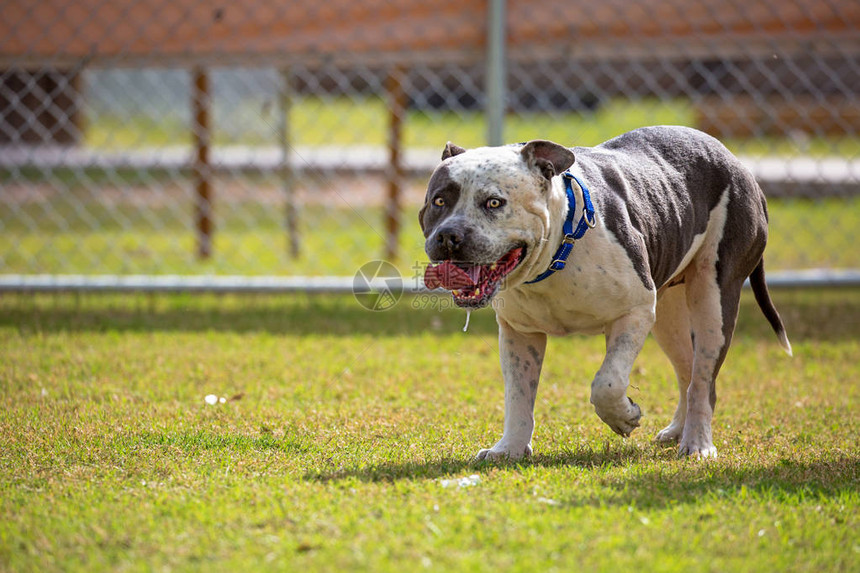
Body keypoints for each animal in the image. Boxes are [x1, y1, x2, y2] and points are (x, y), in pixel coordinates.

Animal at [420, 126, 788, 460]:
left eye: (494, 202)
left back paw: (697, 444)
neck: (558, 250)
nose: (449, 236)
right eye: (439, 201)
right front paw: (509, 449)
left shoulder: (634, 313)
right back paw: (677, 432)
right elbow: (518, 396)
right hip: (668, 313)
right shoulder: (520, 334)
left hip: (713, 300)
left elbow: (607, 383)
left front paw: (624, 418)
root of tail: (736, 163)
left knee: (703, 379)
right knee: (688, 369)